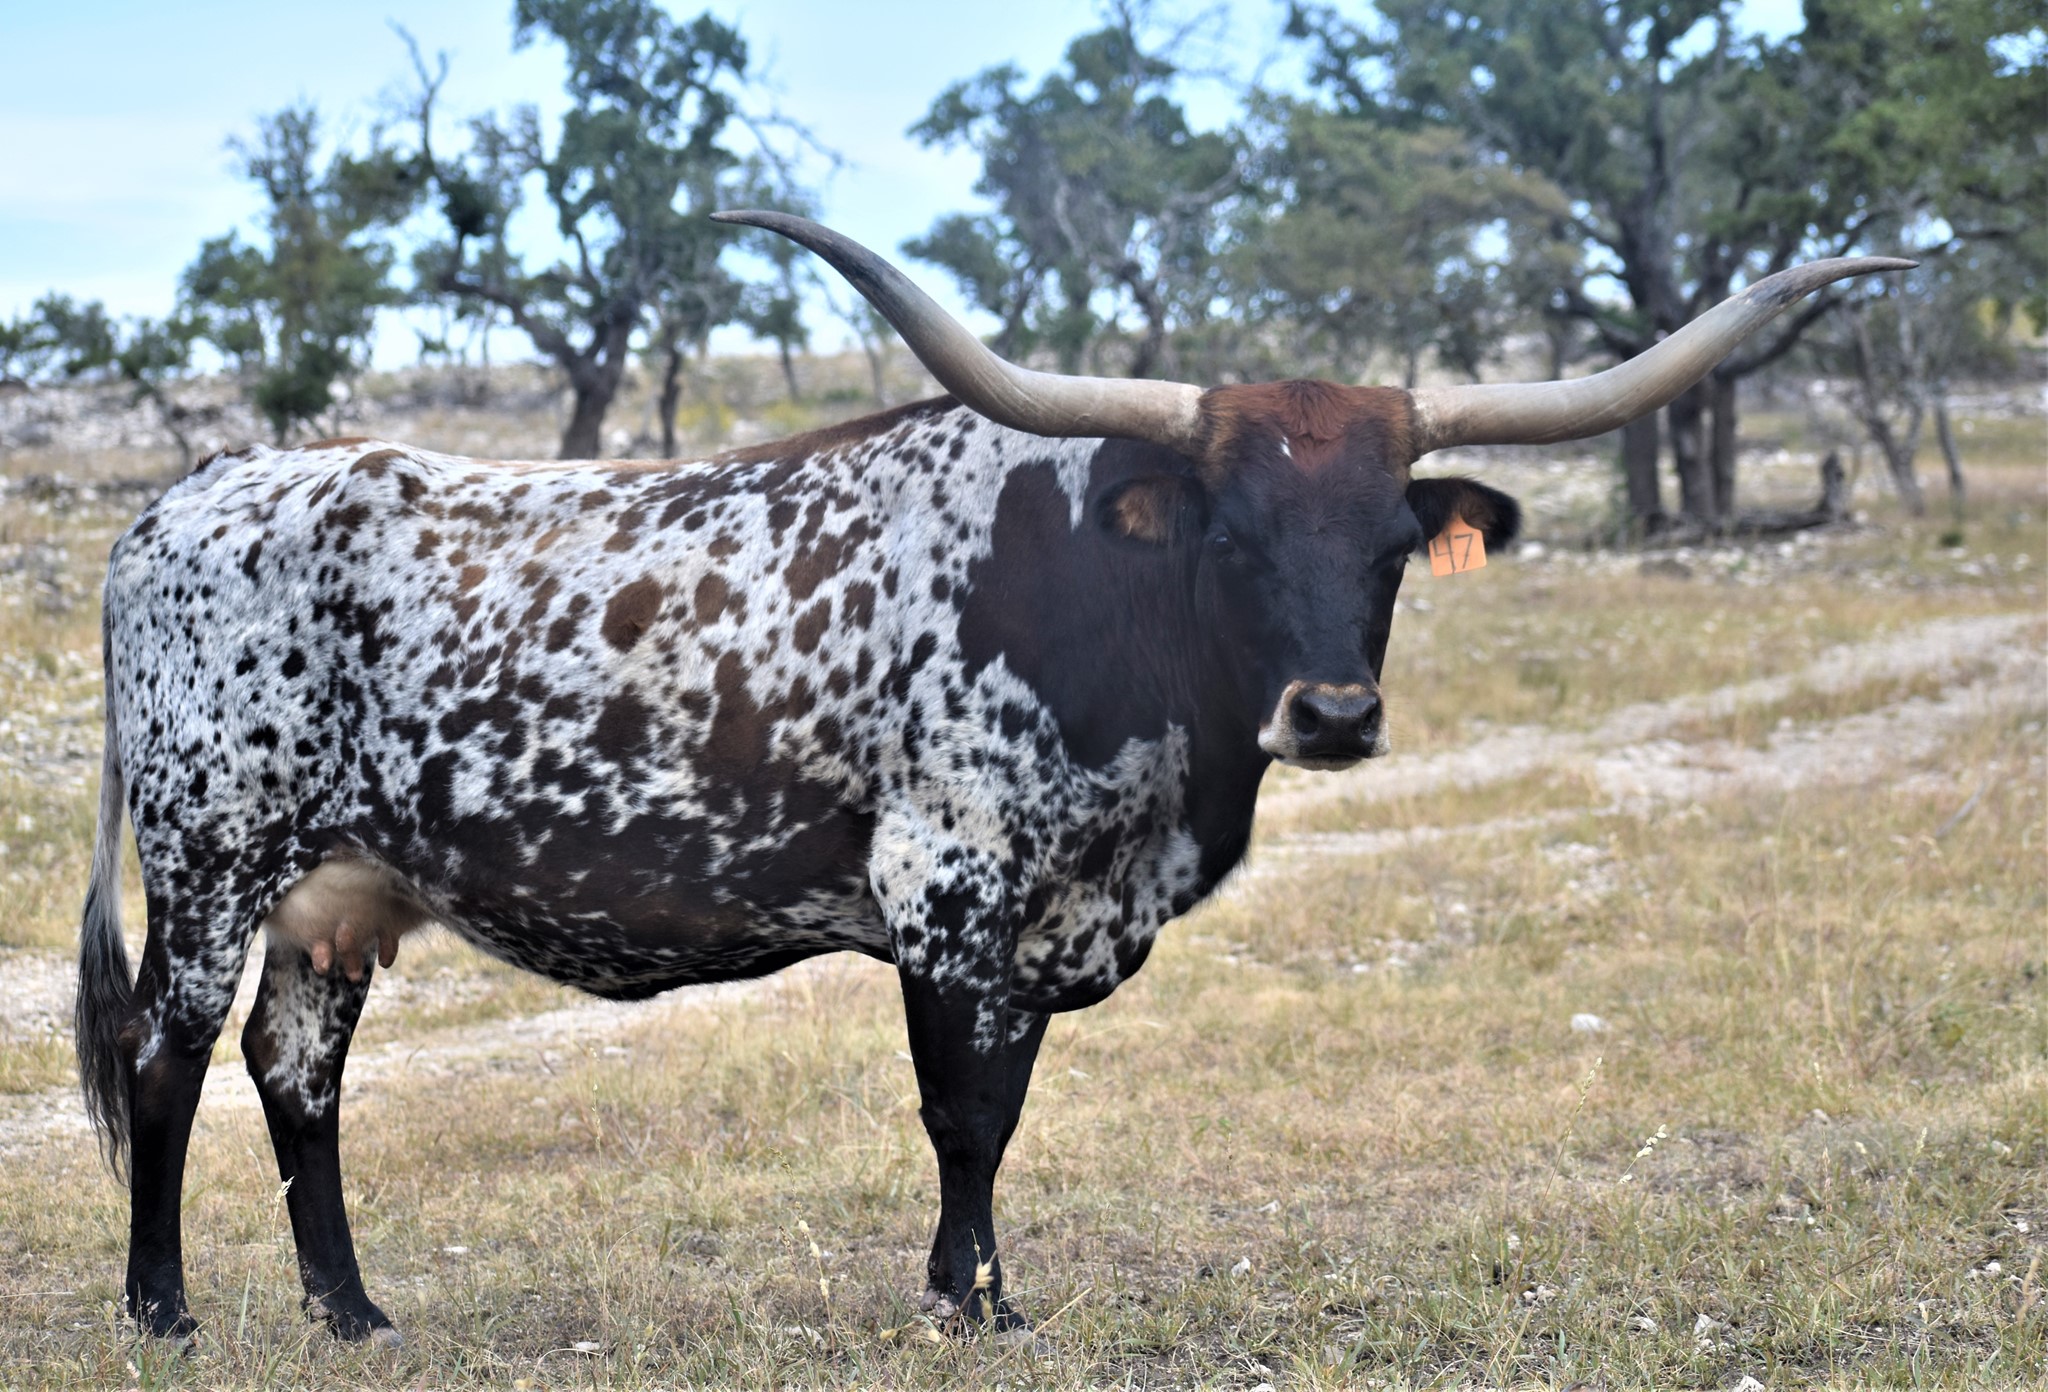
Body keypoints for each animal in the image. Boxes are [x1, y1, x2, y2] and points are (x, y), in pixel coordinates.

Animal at [74, 210, 1907, 1345]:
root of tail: (187, 499)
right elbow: (960, 1108)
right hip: (216, 856)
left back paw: (352, 1312)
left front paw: (981, 1283)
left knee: (297, 1074)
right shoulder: (948, 885)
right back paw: (163, 1307)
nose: (1329, 711)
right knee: (167, 1059)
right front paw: (972, 1300)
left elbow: (1007, 1104)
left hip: (339, 893)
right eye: (1232, 537)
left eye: (1392, 542)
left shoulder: (1043, 916)